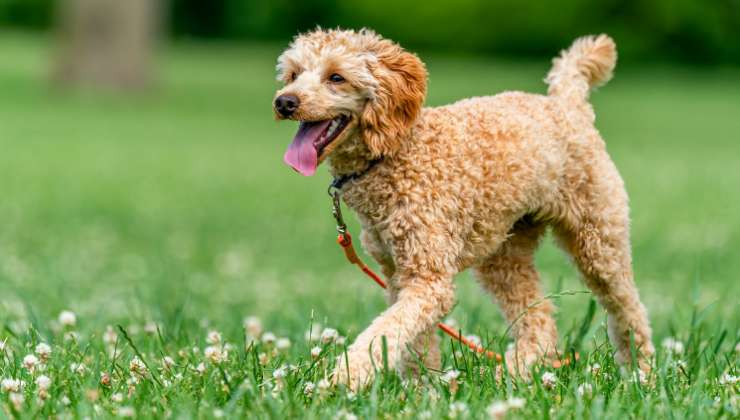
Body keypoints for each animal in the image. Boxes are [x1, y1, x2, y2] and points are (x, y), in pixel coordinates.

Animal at [274, 27, 656, 388]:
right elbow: (414, 342)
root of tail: (568, 103)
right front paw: (421, 391)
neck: (396, 153)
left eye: (336, 77)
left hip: (598, 238)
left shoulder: (428, 278)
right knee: (540, 319)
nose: (284, 102)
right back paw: (514, 373)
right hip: (505, 253)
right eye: (293, 74)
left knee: (628, 307)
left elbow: (385, 332)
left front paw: (345, 378)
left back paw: (642, 372)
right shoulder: (400, 275)